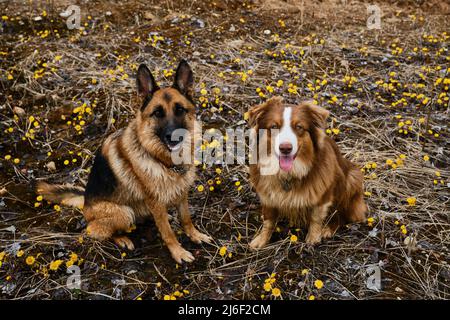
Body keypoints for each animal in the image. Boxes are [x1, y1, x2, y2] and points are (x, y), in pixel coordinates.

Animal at [37, 60, 211, 262]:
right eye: (157, 113)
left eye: (180, 110)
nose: (174, 137)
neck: (162, 160)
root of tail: (85, 203)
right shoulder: (155, 201)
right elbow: (168, 232)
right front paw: (178, 252)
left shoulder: (182, 192)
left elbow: (186, 218)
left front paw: (195, 235)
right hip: (124, 213)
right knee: (95, 230)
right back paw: (122, 239)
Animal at [248, 97, 368, 250]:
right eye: (274, 126)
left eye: (299, 127)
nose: (285, 148)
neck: (288, 174)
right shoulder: (267, 196)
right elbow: (268, 220)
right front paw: (262, 239)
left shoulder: (323, 194)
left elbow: (316, 217)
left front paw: (313, 238)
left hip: (352, 179)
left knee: (342, 214)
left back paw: (328, 229)